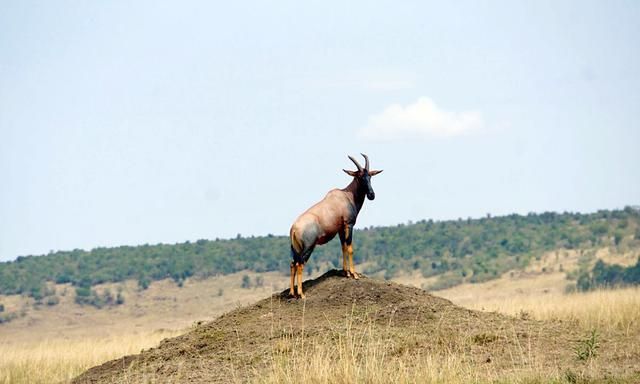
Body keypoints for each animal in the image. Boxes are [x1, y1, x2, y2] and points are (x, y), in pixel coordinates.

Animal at [288, 154, 382, 298]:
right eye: (359, 176)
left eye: (370, 176)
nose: (372, 195)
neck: (346, 195)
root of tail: (294, 228)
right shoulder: (349, 225)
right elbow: (350, 247)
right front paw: (354, 274)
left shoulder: (340, 229)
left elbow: (343, 247)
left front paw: (346, 273)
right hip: (308, 247)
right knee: (300, 264)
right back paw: (301, 294)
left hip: (296, 249)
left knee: (293, 264)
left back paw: (292, 293)